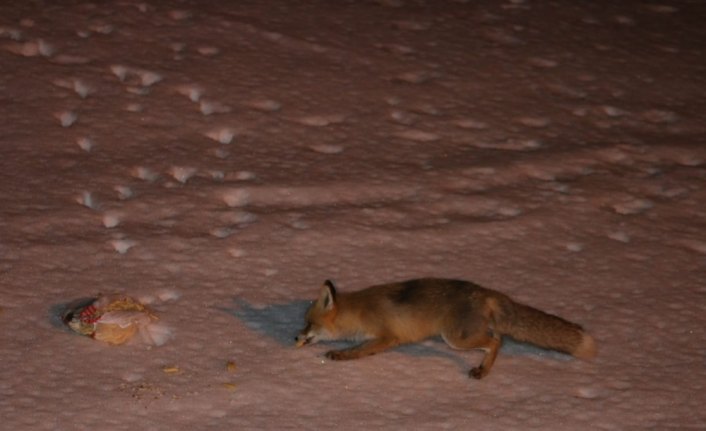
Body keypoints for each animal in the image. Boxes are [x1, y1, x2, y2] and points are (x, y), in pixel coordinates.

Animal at [294, 278, 596, 380]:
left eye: (308, 323)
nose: (295, 335)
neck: (359, 310)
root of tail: (485, 291)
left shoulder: (388, 336)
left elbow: (358, 350)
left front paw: (342, 355)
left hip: (455, 339)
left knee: (496, 342)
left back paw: (482, 371)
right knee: (498, 337)